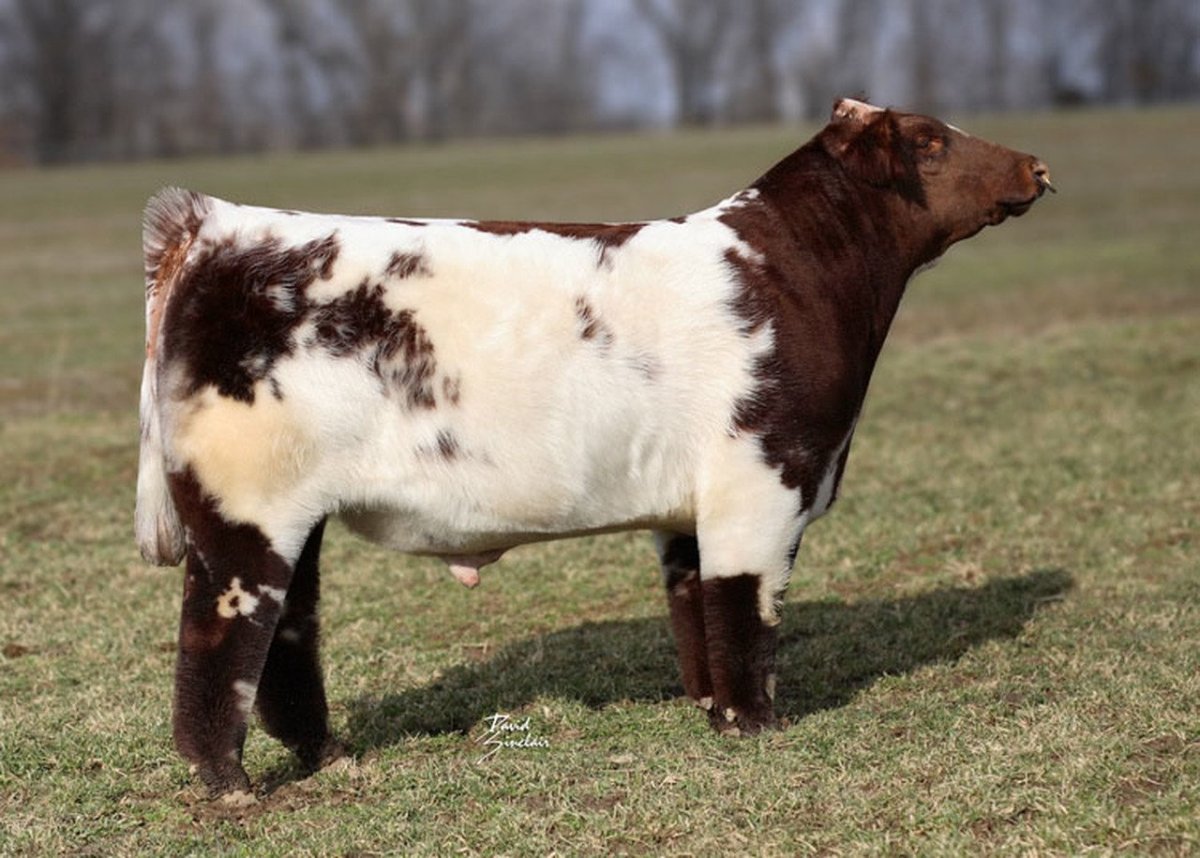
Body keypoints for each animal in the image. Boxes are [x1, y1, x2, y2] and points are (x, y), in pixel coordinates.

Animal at [136, 98, 1052, 804]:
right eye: (929, 140)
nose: (1036, 166)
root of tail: (218, 222)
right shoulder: (762, 481)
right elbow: (745, 610)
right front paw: (756, 725)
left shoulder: (692, 509)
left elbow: (696, 610)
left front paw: (713, 714)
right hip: (245, 512)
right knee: (218, 648)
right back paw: (230, 787)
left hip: (289, 517)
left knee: (290, 634)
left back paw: (327, 756)